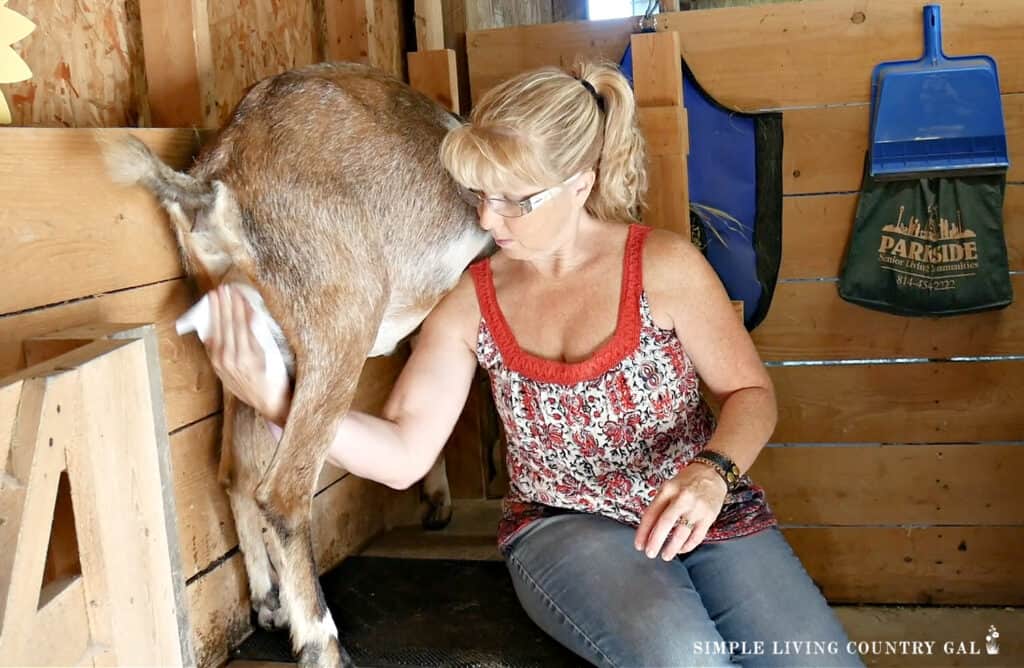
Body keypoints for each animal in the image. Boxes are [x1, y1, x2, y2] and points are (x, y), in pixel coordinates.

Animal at [102, 62, 491, 666]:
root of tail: (218, 181)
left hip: (252, 353)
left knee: (235, 471)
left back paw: (269, 604)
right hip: (341, 320)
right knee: (282, 492)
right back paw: (320, 641)